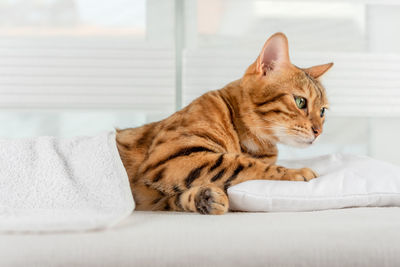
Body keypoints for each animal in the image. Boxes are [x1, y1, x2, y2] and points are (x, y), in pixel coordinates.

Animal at [115, 32, 332, 216]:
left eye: (322, 111)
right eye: (300, 102)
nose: (319, 131)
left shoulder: (153, 198)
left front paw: (204, 198)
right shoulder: (169, 157)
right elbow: (238, 163)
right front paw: (295, 172)